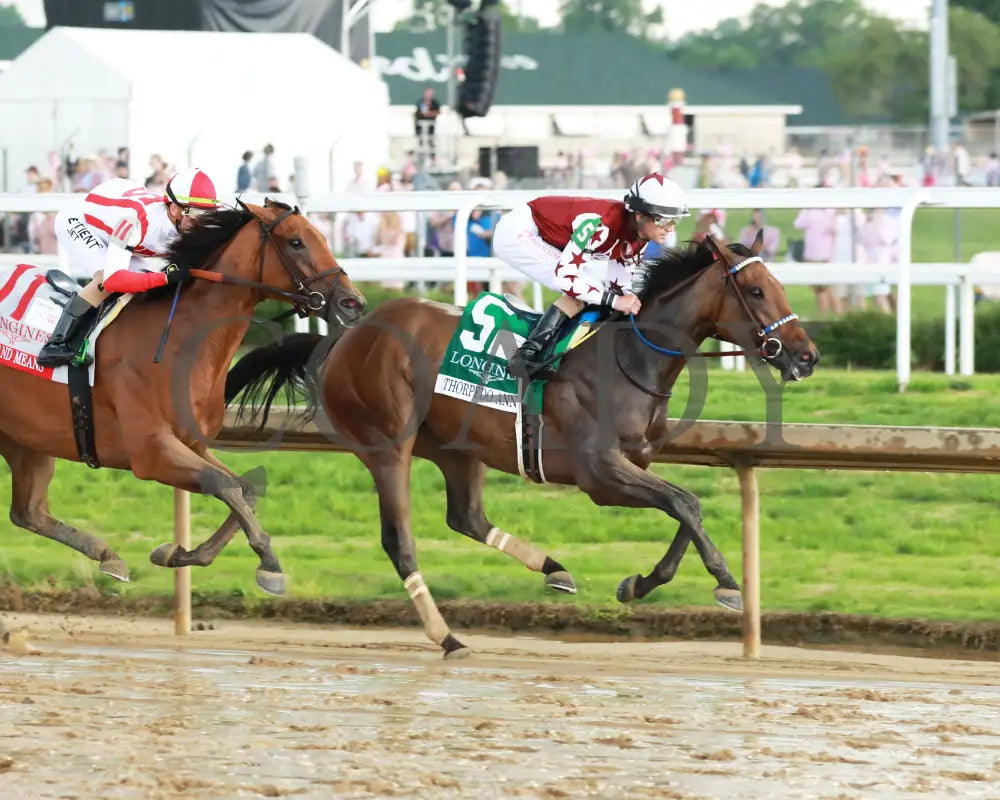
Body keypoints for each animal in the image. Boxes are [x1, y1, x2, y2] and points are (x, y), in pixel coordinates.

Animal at [0, 200, 364, 592]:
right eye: (296, 242)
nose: (353, 303)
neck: (179, 343)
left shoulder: (191, 443)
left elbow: (245, 489)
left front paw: (178, 554)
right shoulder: (151, 451)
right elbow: (224, 485)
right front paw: (270, 563)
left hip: (24, 438)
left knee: (29, 512)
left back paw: (108, 555)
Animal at [227, 233, 820, 656]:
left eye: (780, 285)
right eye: (757, 291)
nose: (806, 356)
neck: (629, 357)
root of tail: (346, 335)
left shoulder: (637, 462)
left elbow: (686, 508)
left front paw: (640, 584)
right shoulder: (599, 474)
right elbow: (683, 503)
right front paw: (726, 582)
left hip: (456, 449)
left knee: (466, 518)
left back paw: (555, 570)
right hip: (386, 445)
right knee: (400, 542)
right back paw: (447, 637)